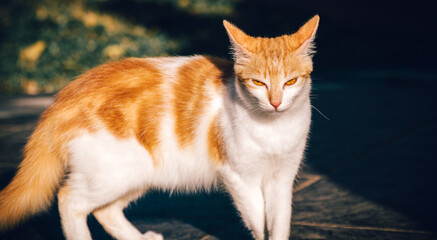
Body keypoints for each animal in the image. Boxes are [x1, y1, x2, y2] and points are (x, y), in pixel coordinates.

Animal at [0, 15, 320, 240]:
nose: (276, 102)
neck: (273, 127)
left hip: (137, 173)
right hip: (110, 173)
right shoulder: (240, 177)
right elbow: (257, 219)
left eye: (291, 81)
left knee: (106, 211)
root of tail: (61, 98)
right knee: (69, 201)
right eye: (258, 83)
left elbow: (279, 223)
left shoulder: (282, 180)